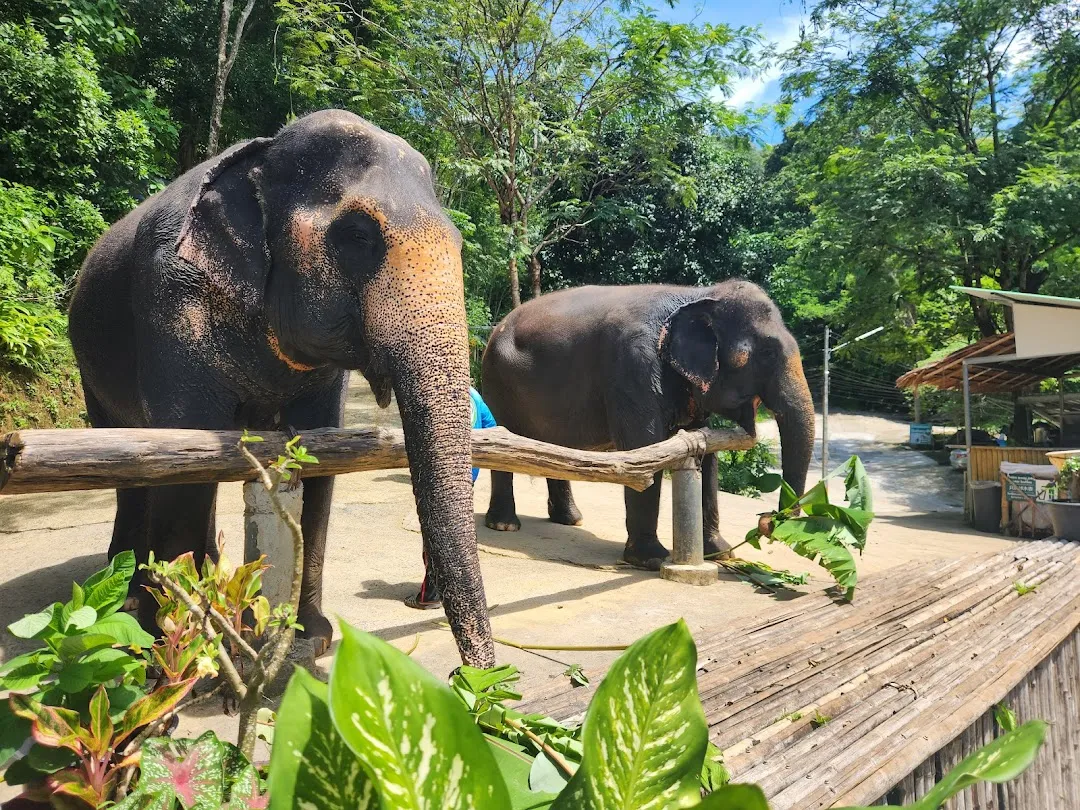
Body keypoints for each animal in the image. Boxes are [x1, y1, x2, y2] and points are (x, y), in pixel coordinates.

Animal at [67, 109, 495, 667]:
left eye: (459, 242)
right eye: (357, 235)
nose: (475, 679)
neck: (264, 155)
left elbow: (318, 459)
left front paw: (310, 635)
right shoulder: (170, 300)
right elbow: (186, 459)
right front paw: (182, 652)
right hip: (89, 365)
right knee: (135, 466)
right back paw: (134, 599)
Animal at [481, 280, 815, 569]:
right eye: (768, 353)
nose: (768, 523)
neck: (696, 294)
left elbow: (704, 450)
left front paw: (721, 553)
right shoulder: (633, 365)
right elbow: (644, 443)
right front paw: (651, 560)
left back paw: (571, 520)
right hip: (496, 382)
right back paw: (504, 525)